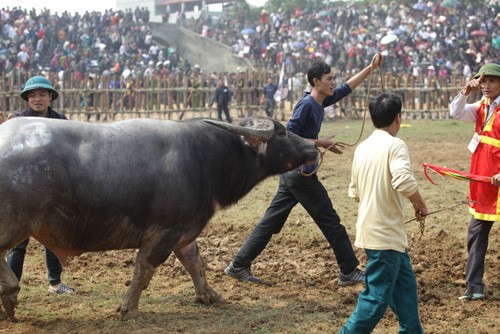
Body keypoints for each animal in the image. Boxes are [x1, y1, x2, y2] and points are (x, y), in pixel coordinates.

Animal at [0, 117, 318, 320]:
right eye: (281, 133)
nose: (312, 146)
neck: (205, 158)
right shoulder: (163, 233)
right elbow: (143, 271)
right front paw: (127, 309)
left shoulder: (185, 234)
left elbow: (196, 265)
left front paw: (210, 296)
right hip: (14, 227)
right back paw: (11, 295)